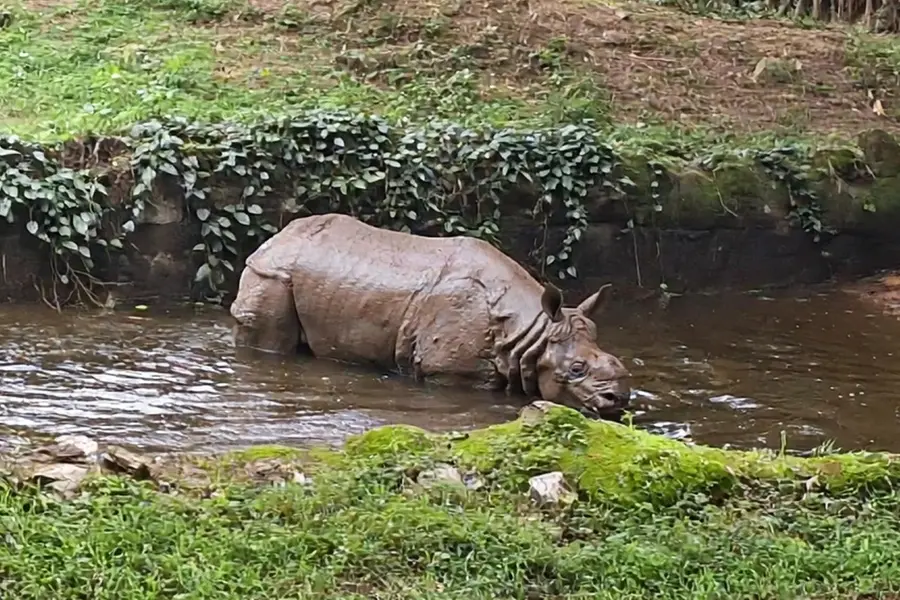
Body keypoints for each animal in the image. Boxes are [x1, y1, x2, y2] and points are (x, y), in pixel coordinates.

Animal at [229, 213, 632, 416]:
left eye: (617, 362)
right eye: (576, 369)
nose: (620, 400)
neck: (531, 330)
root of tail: (276, 237)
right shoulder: (450, 373)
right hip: (270, 276)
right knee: (270, 342)